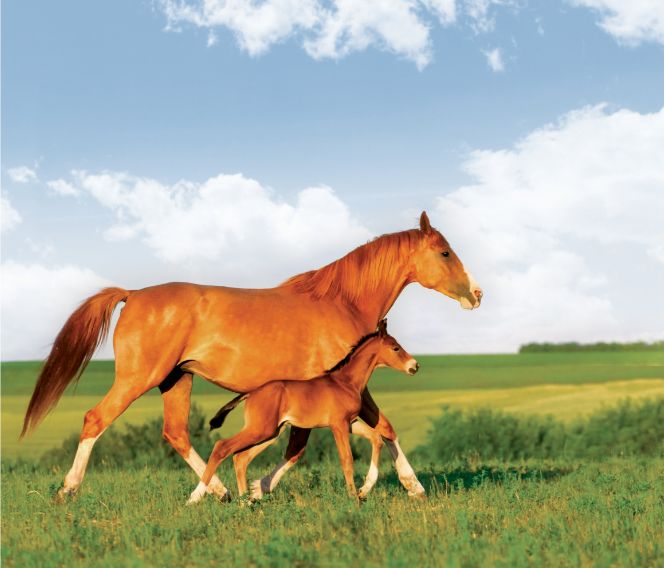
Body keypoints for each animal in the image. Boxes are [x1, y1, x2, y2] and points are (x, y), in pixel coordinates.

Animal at [188, 319, 417, 504]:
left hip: (271, 432)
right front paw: (354, 497)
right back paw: (195, 497)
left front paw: (364, 490)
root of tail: (251, 393)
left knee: (240, 457)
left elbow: (376, 439)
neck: (345, 382)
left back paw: (247, 502)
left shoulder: (350, 423)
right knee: (222, 447)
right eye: (396, 348)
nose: (415, 366)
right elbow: (347, 459)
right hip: (260, 429)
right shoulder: (338, 425)